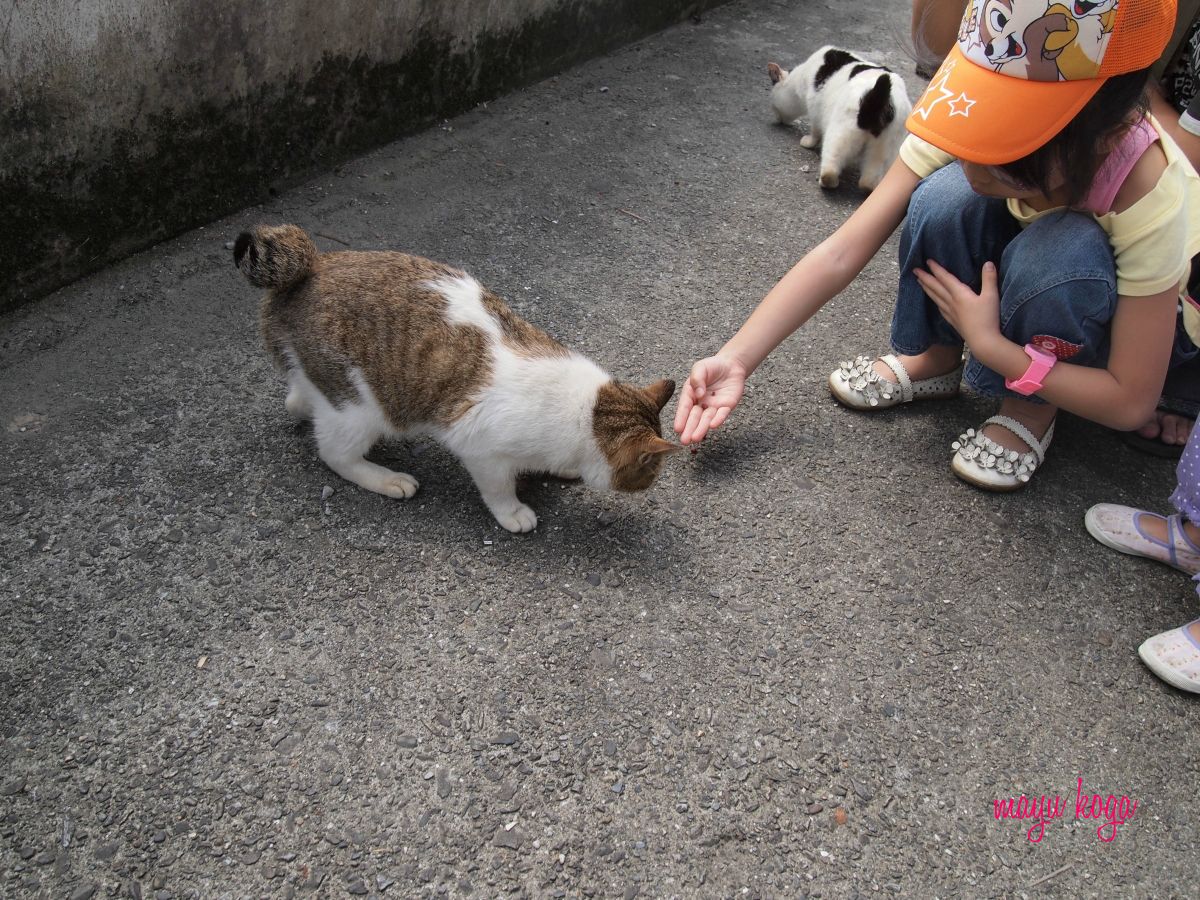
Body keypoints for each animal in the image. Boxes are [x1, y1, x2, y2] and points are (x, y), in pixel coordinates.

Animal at [234, 225, 681, 532]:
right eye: (651, 472)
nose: (653, 485)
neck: (586, 414)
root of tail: (308, 266)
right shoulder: (481, 447)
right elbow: (498, 489)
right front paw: (513, 512)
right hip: (359, 409)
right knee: (335, 453)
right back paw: (386, 478)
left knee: (298, 397)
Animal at [768, 45, 907, 192]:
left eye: (773, 106)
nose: (777, 118)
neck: (802, 74)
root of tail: (879, 96)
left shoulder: (815, 110)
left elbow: (815, 132)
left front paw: (808, 142)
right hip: (885, 148)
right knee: (869, 180)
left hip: (840, 133)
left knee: (830, 168)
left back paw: (828, 182)